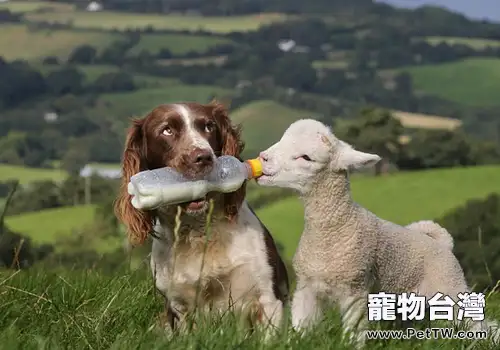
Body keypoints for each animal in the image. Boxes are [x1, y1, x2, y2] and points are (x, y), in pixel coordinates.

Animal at [114, 100, 290, 334]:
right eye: (167, 130)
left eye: (209, 126)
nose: (203, 157)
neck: (199, 232)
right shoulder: (179, 308)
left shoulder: (267, 298)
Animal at [256, 118, 498, 348]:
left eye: (306, 157)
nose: (263, 158)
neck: (333, 230)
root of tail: (442, 243)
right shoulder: (307, 287)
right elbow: (301, 327)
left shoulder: (355, 288)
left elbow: (354, 332)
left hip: (449, 285)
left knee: (480, 324)